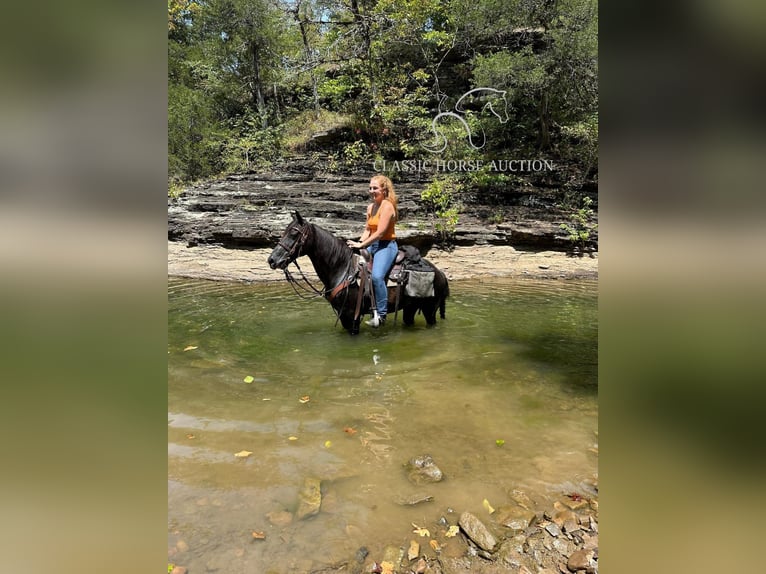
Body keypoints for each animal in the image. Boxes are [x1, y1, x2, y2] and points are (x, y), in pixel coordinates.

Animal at [268, 214, 450, 336]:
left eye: (294, 233)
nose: (272, 260)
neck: (342, 269)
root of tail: (440, 273)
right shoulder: (343, 315)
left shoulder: (351, 316)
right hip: (410, 308)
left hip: (429, 310)